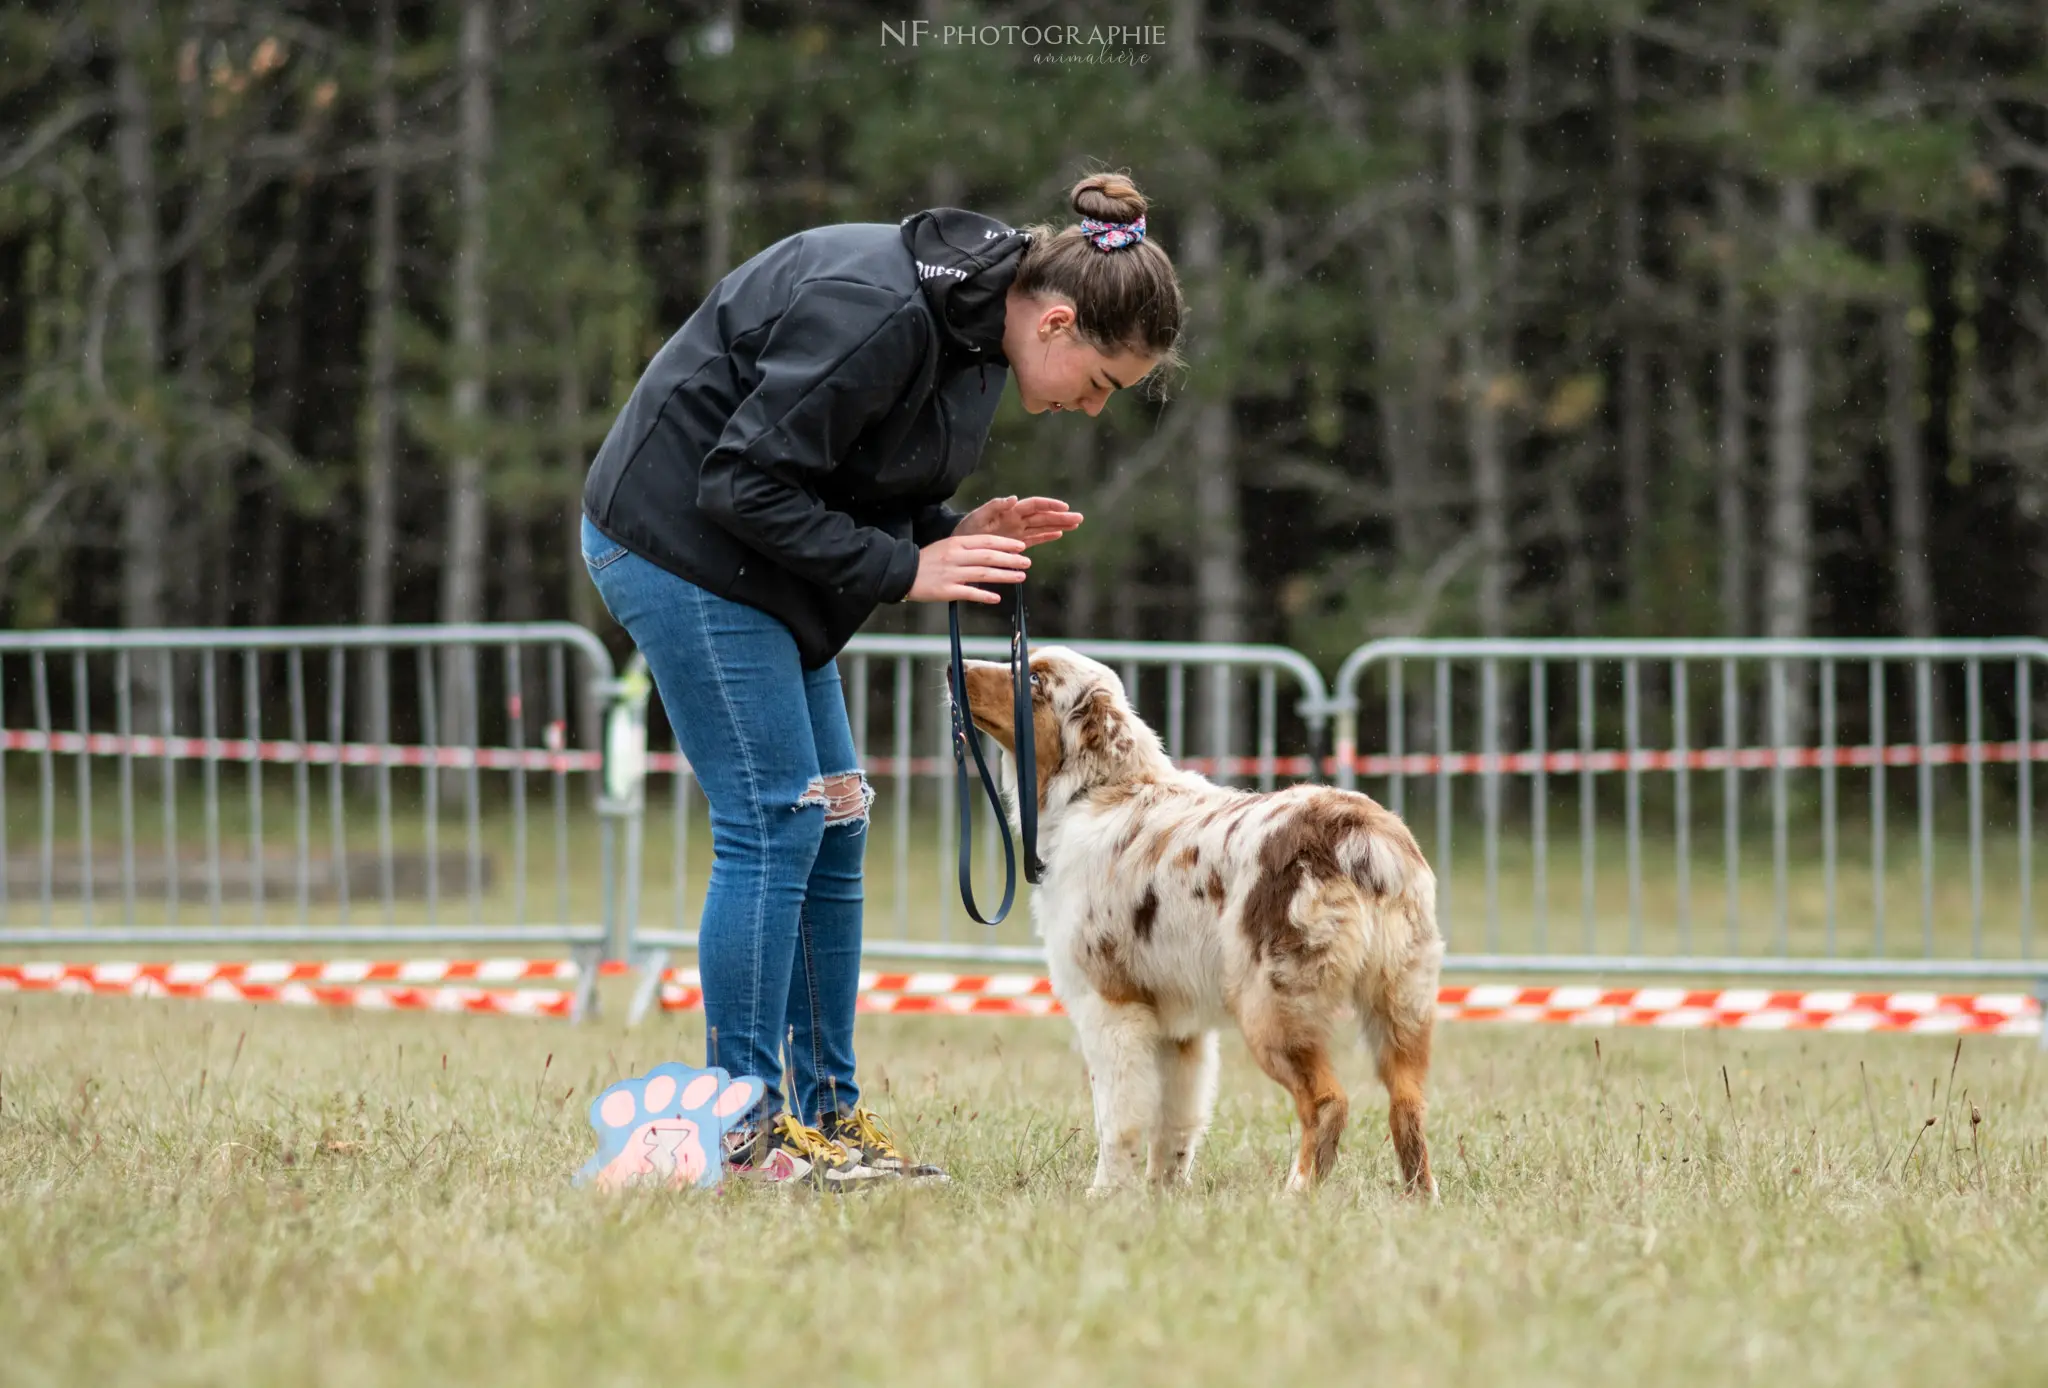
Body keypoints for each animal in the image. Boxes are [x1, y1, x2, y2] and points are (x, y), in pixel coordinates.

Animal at [954, 646, 1441, 1203]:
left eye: (1033, 678)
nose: (954, 668)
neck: (1096, 792)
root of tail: (1362, 834)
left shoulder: (1110, 1006)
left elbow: (1118, 1119)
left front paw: (1105, 1194)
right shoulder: (1180, 1029)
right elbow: (1176, 1123)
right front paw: (1163, 1193)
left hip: (1274, 1009)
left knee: (1327, 1101)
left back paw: (1294, 1195)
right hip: (1402, 1003)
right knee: (1407, 1104)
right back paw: (1422, 1201)